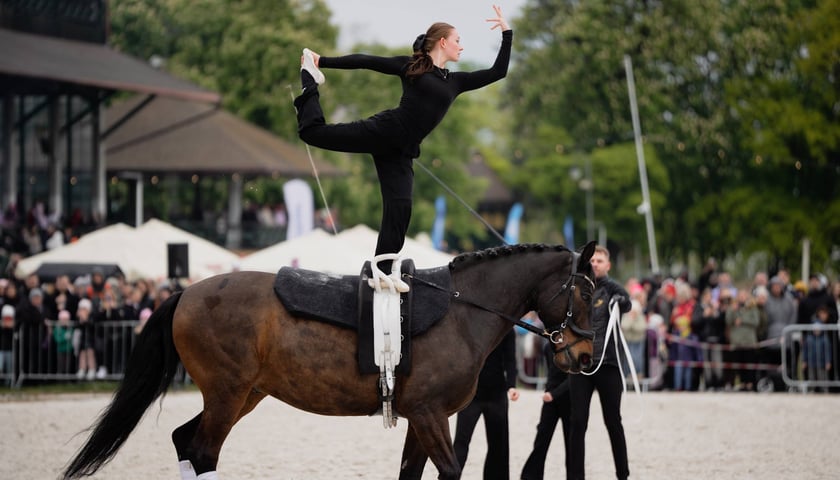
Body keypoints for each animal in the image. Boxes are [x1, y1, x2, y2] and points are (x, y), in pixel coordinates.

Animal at [64, 244, 596, 480]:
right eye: (588, 292)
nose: (586, 355)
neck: (461, 309)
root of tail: (185, 292)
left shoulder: (422, 419)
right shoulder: (430, 416)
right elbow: (449, 472)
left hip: (243, 396)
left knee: (185, 442)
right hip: (228, 394)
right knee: (201, 450)